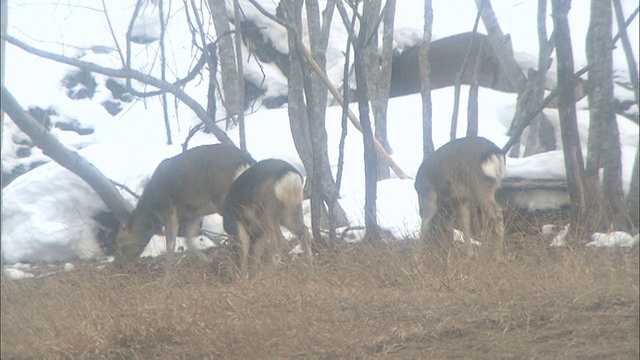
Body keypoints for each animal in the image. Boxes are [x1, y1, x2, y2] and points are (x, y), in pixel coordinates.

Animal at [114, 143, 256, 264]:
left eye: (120, 242)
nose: (118, 263)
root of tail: (245, 162)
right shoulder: (194, 213)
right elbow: (188, 239)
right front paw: (208, 262)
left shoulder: (168, 211)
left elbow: (171, 246)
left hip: (225, 201)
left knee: (242, 236)